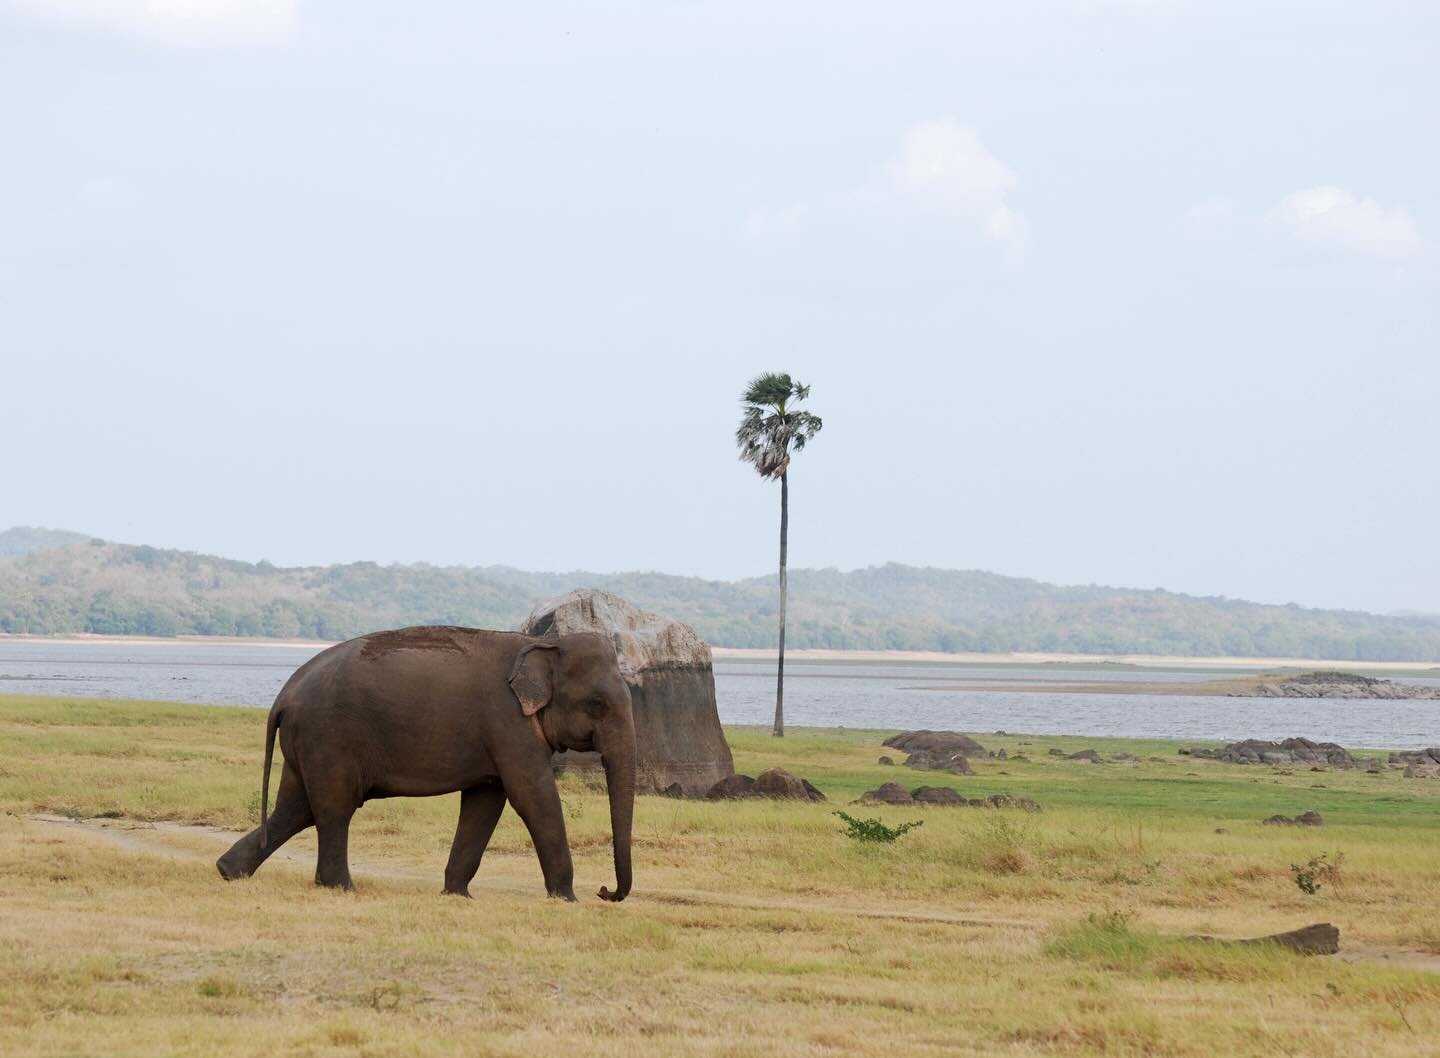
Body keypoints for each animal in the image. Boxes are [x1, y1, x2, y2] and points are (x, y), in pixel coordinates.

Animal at [215, 625, 636, 902]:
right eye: (597, 703)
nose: (604, 891)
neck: (544, 643)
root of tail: (283, 696)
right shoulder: (508, 723)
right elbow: (532, 795)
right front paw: (567, 899)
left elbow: (486, 801)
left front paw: (456, 895)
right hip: (327, 738)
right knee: (334, 808)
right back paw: (342, 888)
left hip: (306, 744)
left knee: (294, 808)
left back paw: (229, 872)